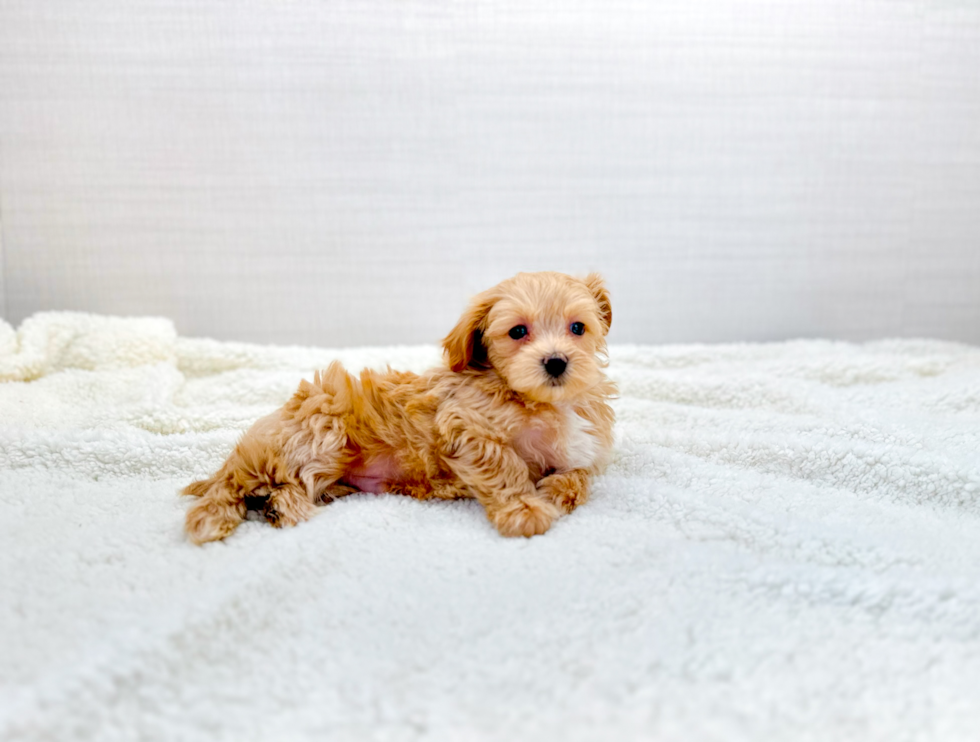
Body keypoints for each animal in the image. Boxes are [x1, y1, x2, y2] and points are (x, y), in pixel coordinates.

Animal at [183, 274, 612, 548]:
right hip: (322, 431)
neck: (544, 402)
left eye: (577, 328)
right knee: (241, 484)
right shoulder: (465, 423)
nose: (556, 362)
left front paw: (555, 491)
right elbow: (504, 466)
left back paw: (281, 507)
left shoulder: (583, 450)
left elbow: (578, 477)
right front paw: (524, 509)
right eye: (518, 332)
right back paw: (250, 513)